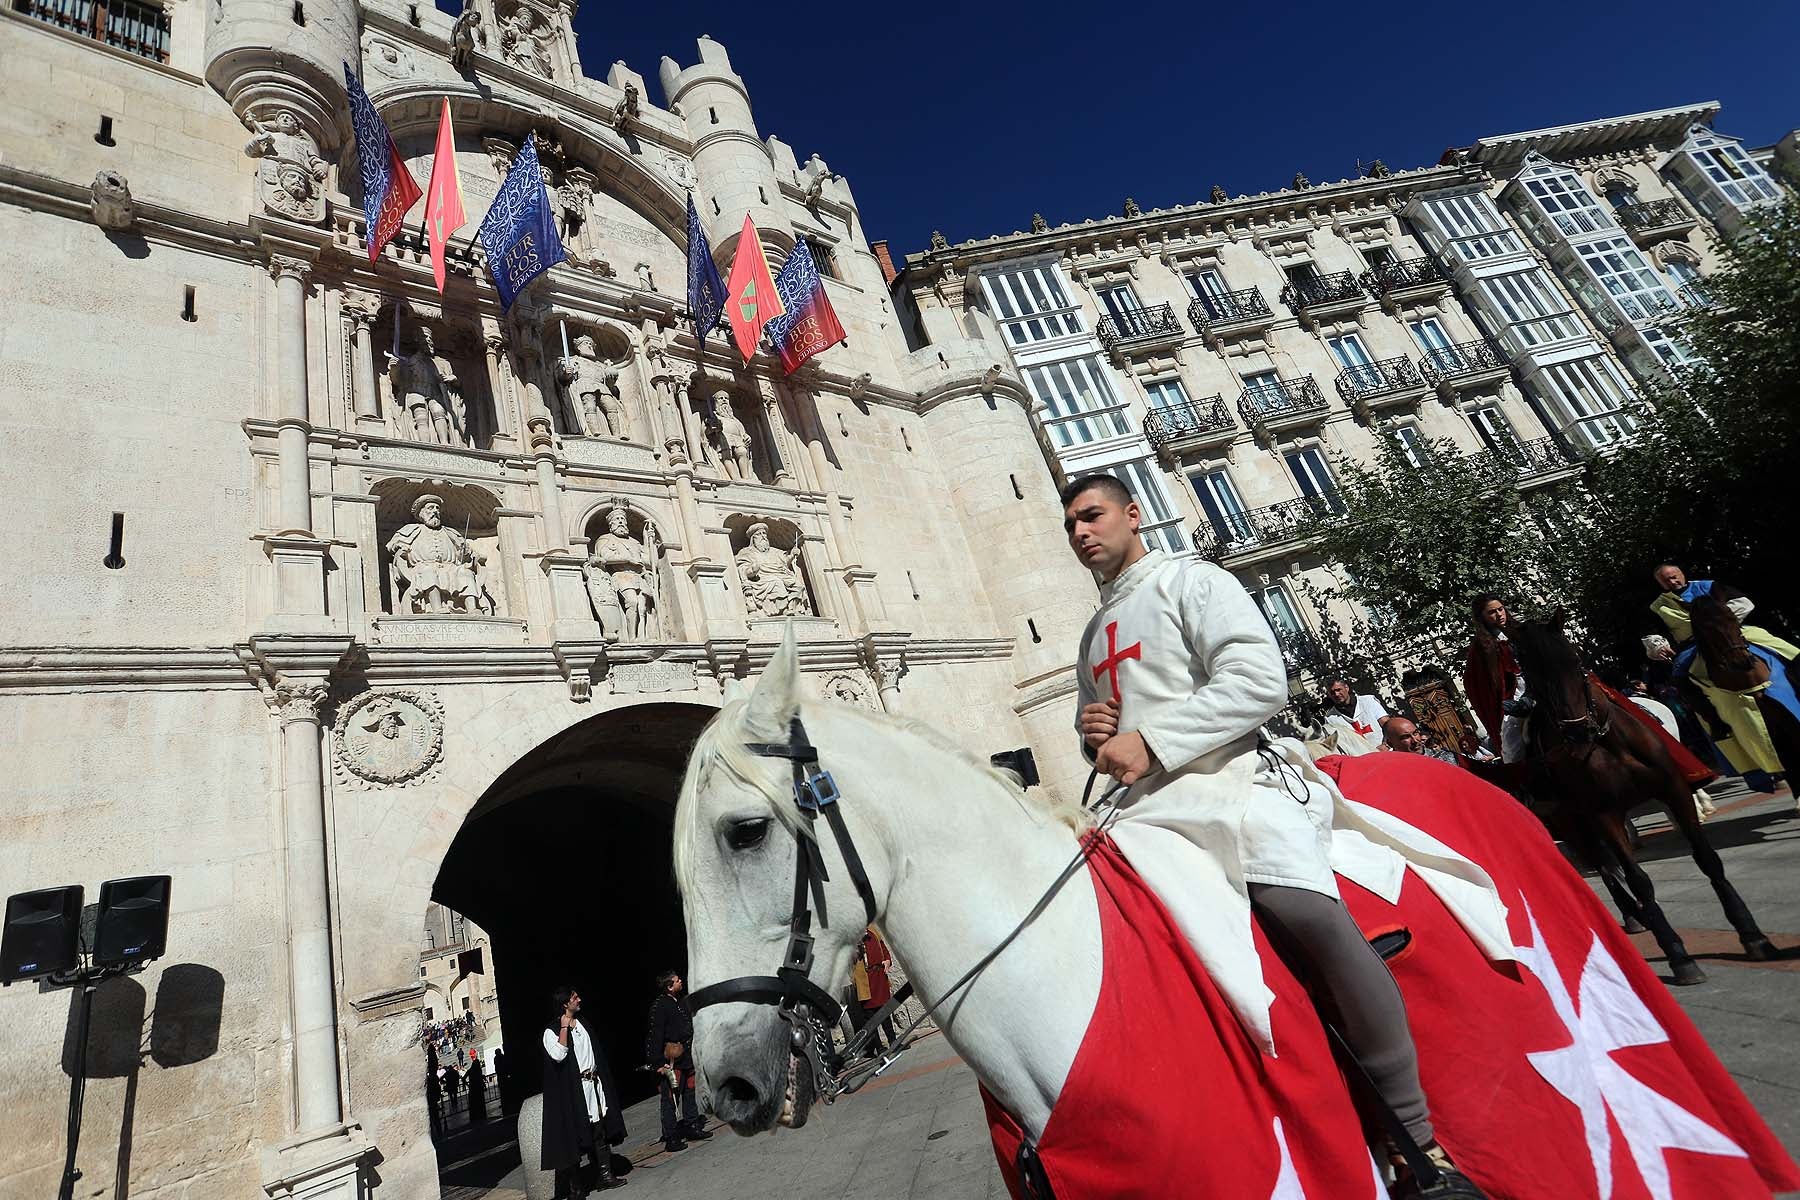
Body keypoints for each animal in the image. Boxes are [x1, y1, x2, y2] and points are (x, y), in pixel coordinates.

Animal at [1504, 611, 1771, 985]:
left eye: (1575, 662)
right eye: (1533, 678)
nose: (1576, 732)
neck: (1605, 742)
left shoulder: (1673, 790)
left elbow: (1707, 858)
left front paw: (1751, 934)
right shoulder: (1605, 814)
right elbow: (1638, 879)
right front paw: (1677, 955)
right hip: (1570, 822)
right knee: (1604, 866)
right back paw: (1634, 916)